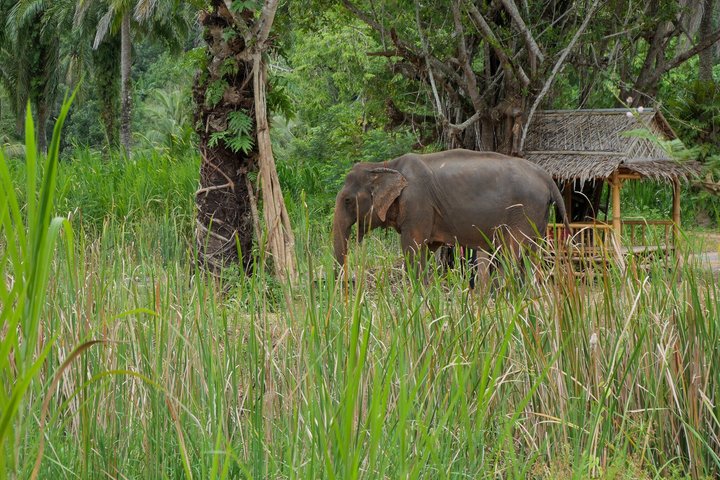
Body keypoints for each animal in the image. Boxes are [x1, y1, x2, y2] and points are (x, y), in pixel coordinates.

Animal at [332, 148, 570, 280]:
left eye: (347, 200)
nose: (345, 284)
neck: (387, 165)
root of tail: (547, 177)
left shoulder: (418, 204)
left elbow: (412, 249)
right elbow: (426, 251)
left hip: (524, 211)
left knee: (513, 255)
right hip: (538, 217)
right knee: (529, 257)